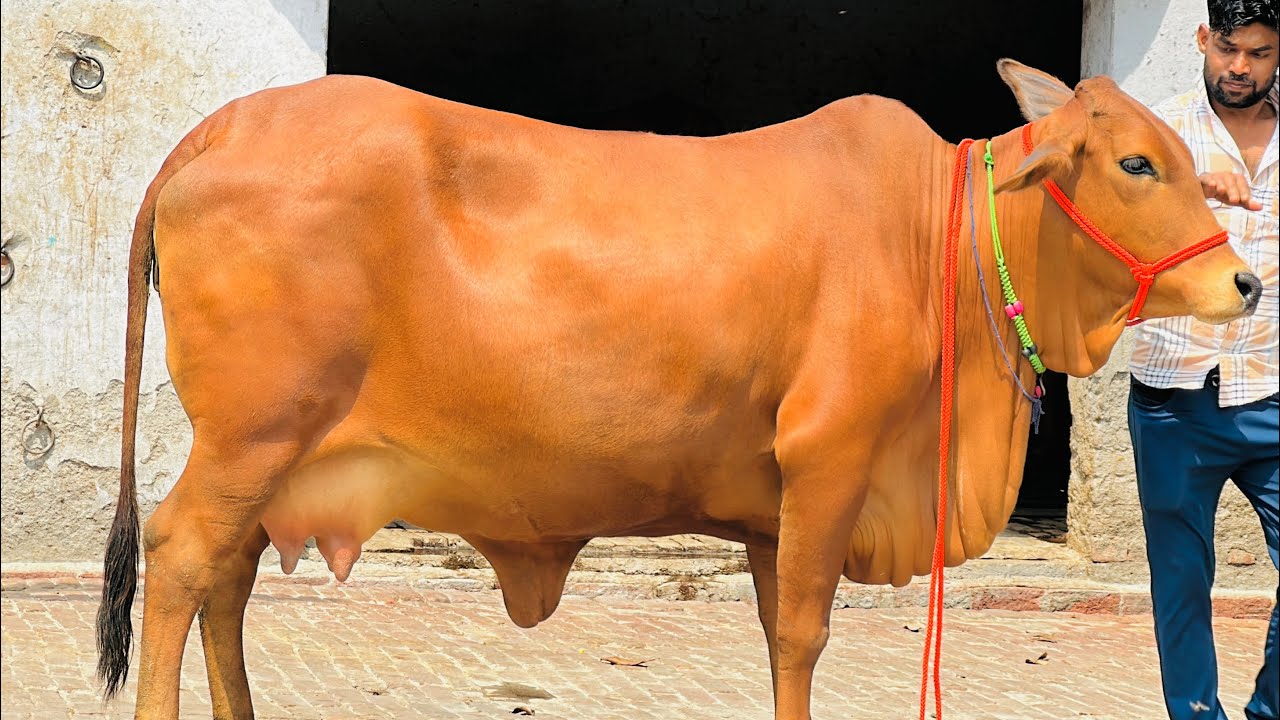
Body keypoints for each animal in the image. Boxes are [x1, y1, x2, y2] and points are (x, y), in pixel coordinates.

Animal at [96, 59, 1262, 719]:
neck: (934, 234)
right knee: (182, 557)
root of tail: (223, 125)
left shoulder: (772, 510)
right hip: (252, 438)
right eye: (1134, 164)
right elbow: (805, 635)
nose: (1243, 282)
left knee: (227, 585)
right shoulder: (829, 460)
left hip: (275, 456)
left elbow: (777, 634)